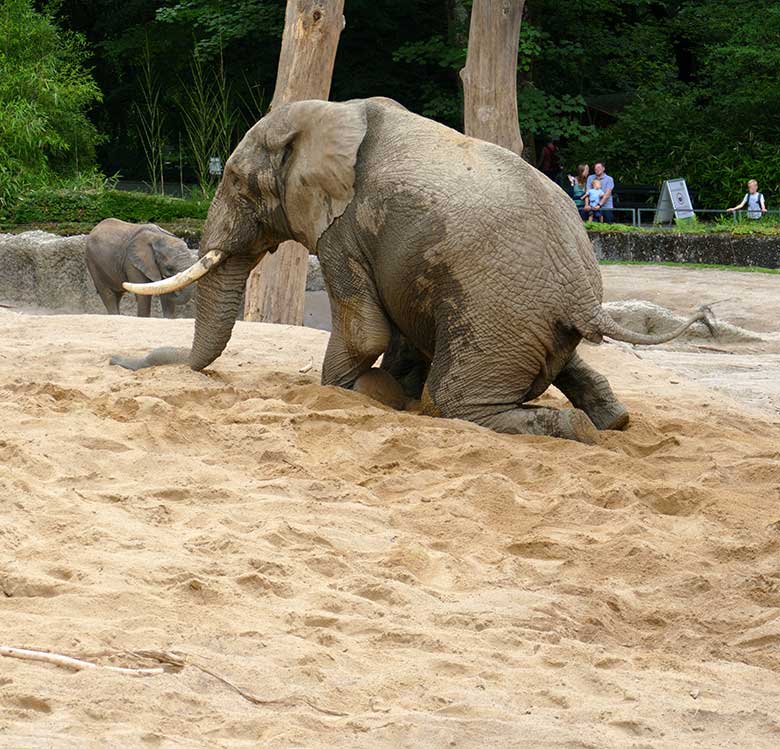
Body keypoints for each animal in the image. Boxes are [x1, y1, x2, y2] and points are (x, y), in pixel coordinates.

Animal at [117, 96, 712, 442]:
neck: (331, 114)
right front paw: (388, 389)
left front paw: (353, 391)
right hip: (527, 318)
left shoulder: (344, 229)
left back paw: (569, 427)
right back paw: (612, 421)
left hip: (495, 315)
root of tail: (585, 299)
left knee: (455, 401)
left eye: (238, 185)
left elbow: (366, 331)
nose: (119, 362)